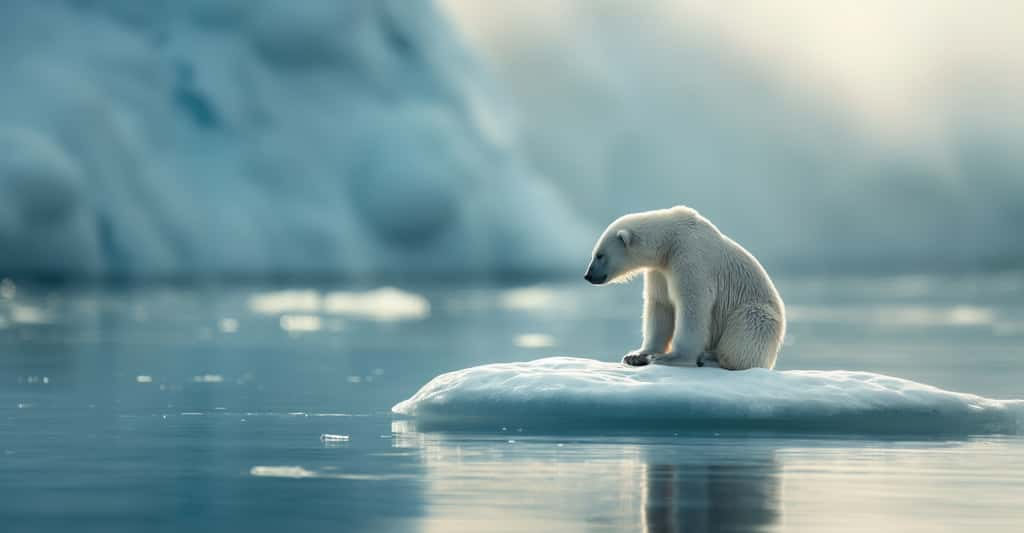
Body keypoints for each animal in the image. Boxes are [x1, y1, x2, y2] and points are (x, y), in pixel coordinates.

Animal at [585, 205, 782, 368]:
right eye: (594, 253)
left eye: (600, 255)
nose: (588, 275)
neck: (671, 239)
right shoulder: (661, 269)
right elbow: (660, 305)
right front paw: (636, 355)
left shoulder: (690, 257)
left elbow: (692, 305)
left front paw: (668, 357)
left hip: (757, 314)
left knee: (749, 324)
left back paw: (710, 358)